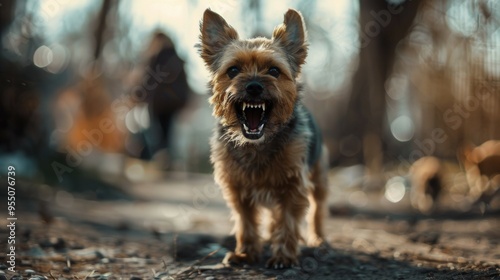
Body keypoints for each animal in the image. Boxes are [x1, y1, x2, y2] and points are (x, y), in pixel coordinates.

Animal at [197, 7, 330, 268]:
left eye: (274, 71)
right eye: (233, 70)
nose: (254, 86)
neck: (257, 144)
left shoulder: (292, 185)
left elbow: (287, 220)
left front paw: (284, 256)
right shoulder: (238, 187)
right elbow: (246, 221)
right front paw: (245, 253)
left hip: (318, 175)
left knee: (317, 207)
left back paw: (318, 238)